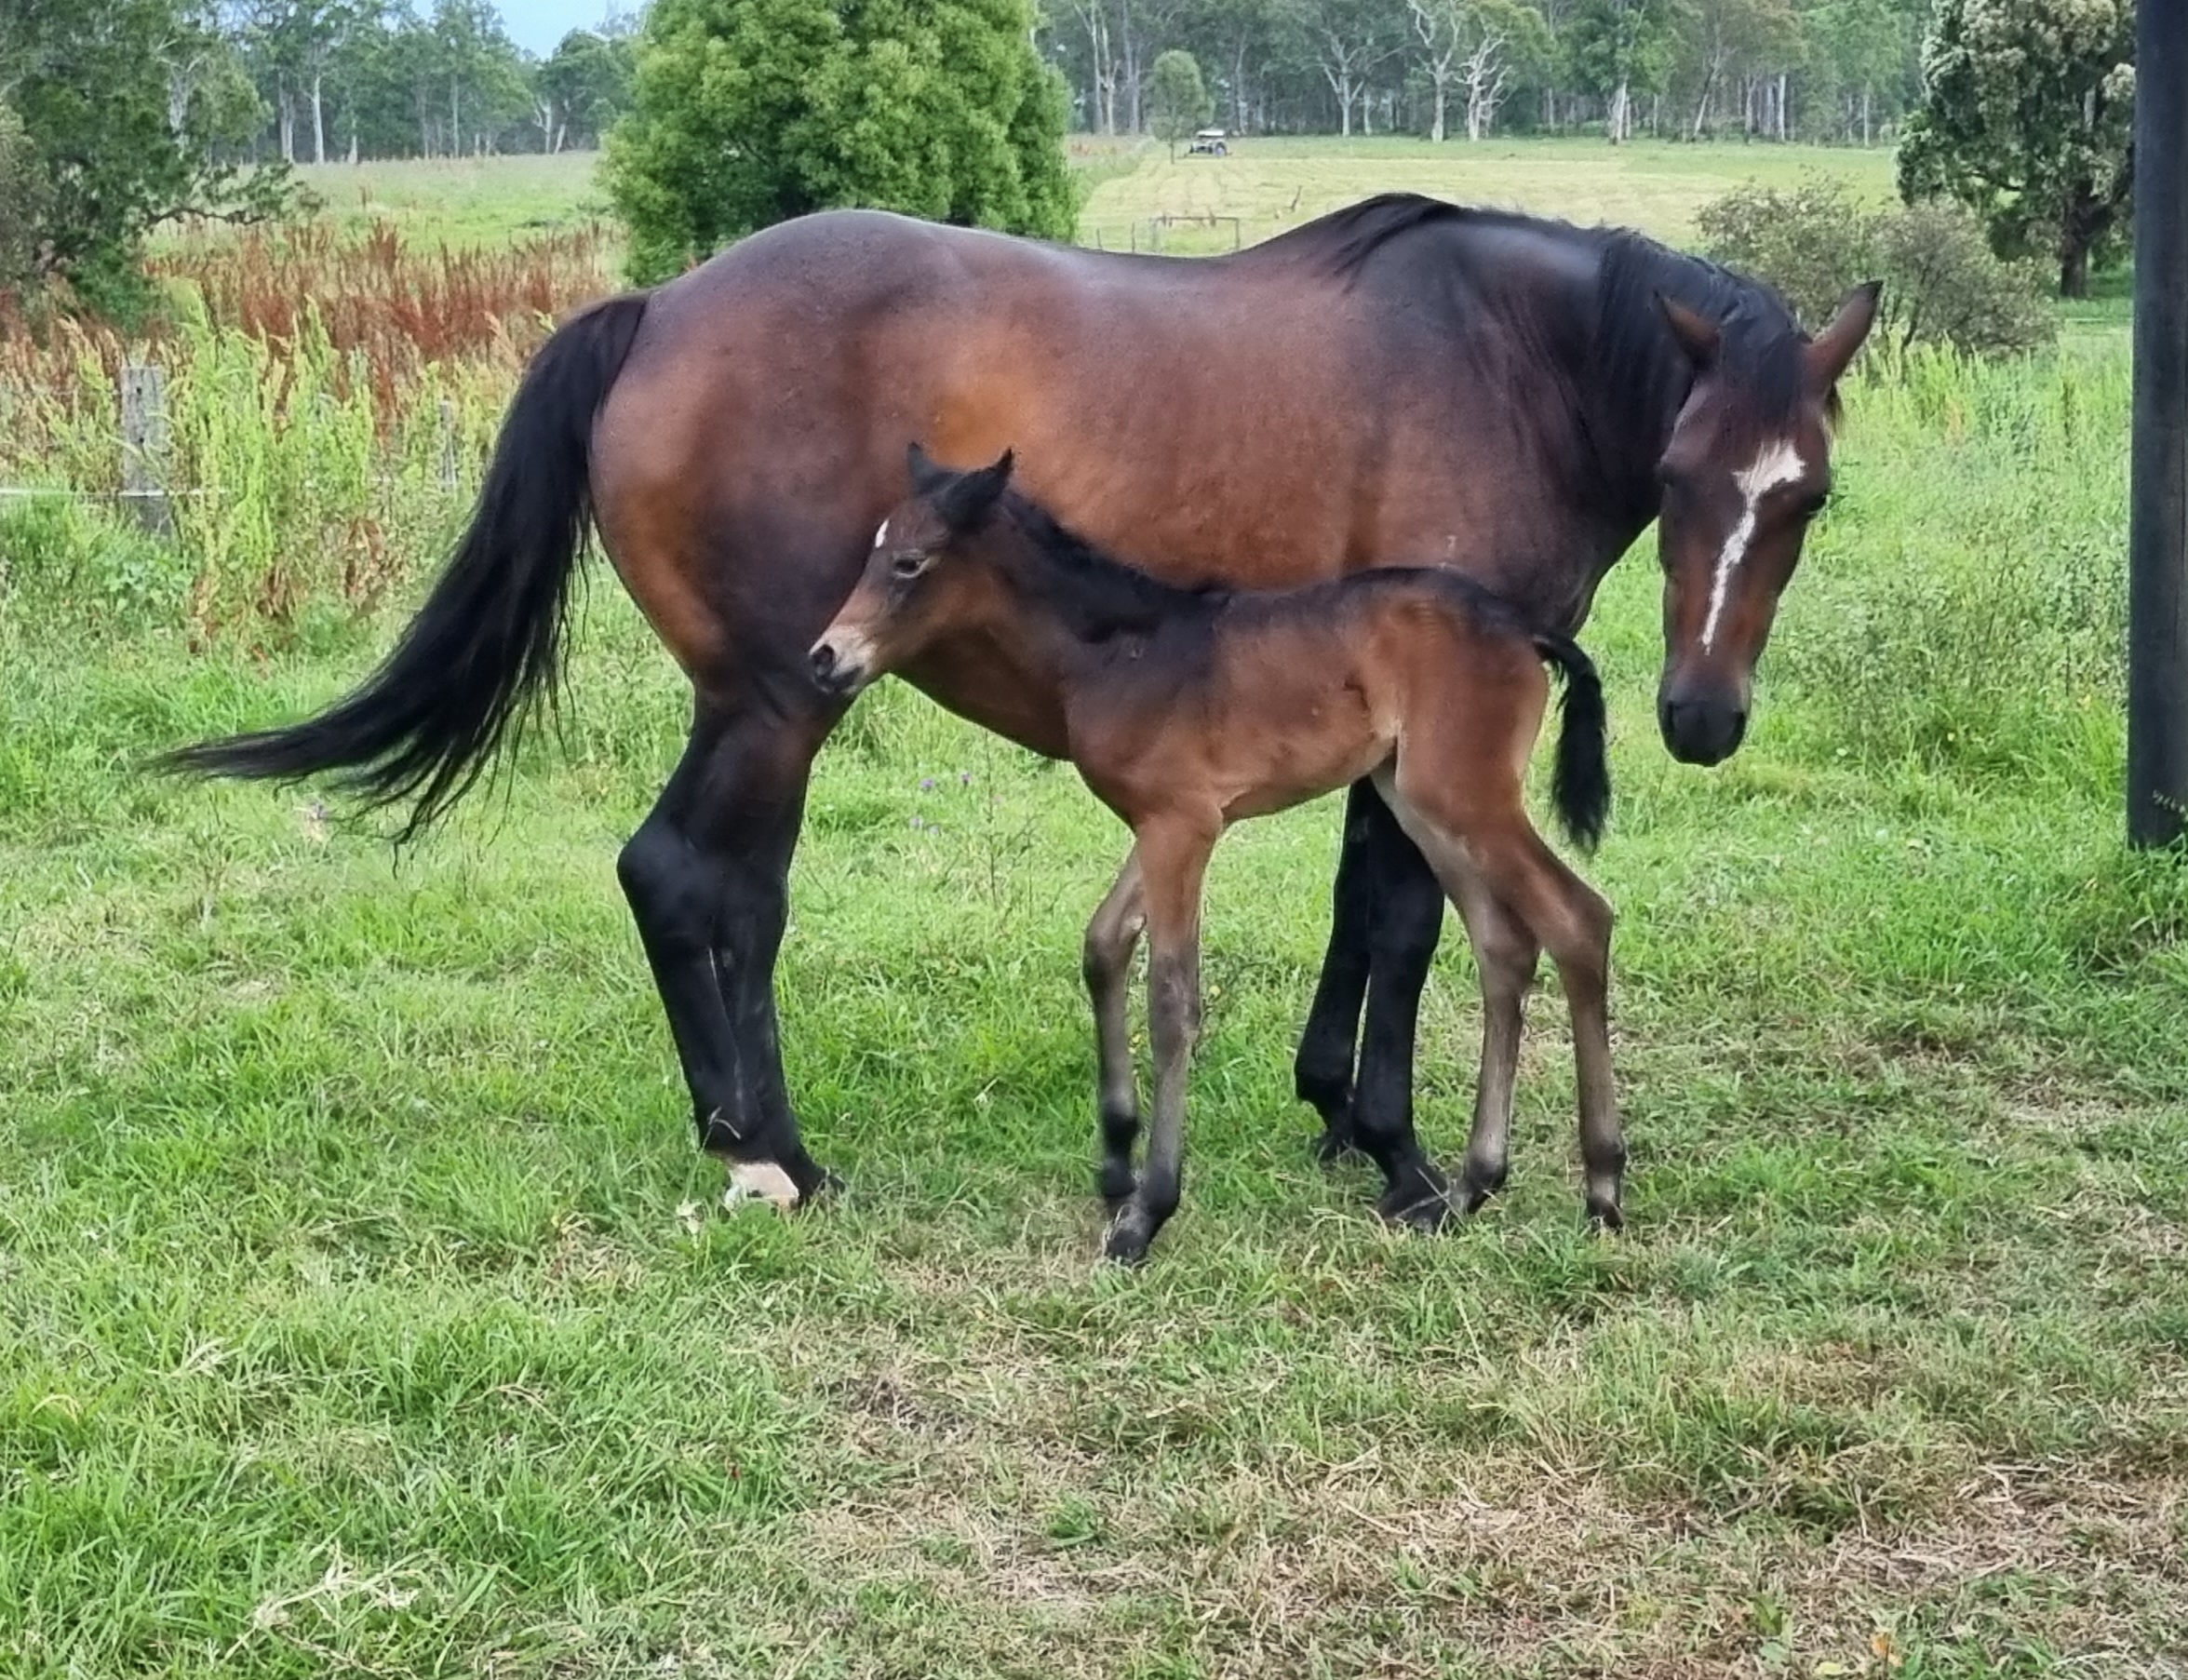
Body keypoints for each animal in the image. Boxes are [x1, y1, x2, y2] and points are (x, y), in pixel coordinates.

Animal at [813, 446, 1618, 1259]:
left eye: (909, 563)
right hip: (1419, 802)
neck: (1122, 651)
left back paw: (1601, 1185)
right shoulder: (1170, 822)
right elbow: (1104, 944)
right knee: (1502, 945)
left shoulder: (1181, 827)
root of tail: (1522, 632)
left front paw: (1147, 1209)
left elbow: (1172, 999)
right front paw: (1115, 1163)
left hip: (1466, 798)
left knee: (1578, 918)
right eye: (872, 554)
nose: (825, 658)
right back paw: (1468, 1186)